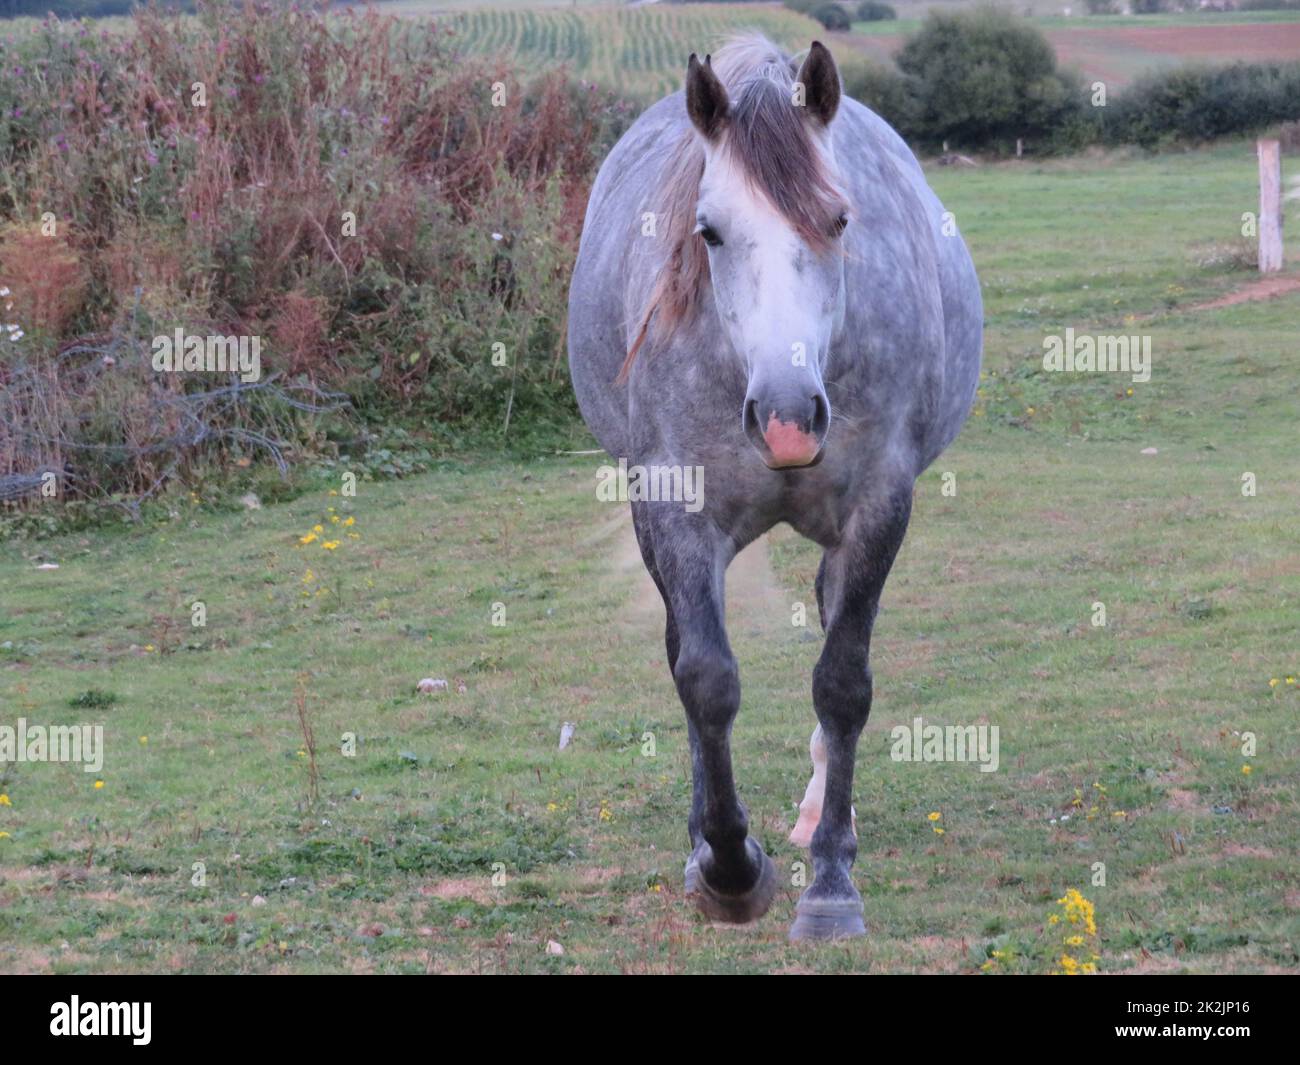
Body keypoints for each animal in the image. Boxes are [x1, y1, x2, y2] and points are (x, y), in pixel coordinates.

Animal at [564, 35, 977, 941]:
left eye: (839, 220)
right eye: (710, 232)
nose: (788, 420)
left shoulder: (879, 507)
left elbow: (842, 682)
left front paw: (830, 880)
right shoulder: (675, 510)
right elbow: (705, 678)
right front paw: (728, 868)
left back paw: (822, 814)